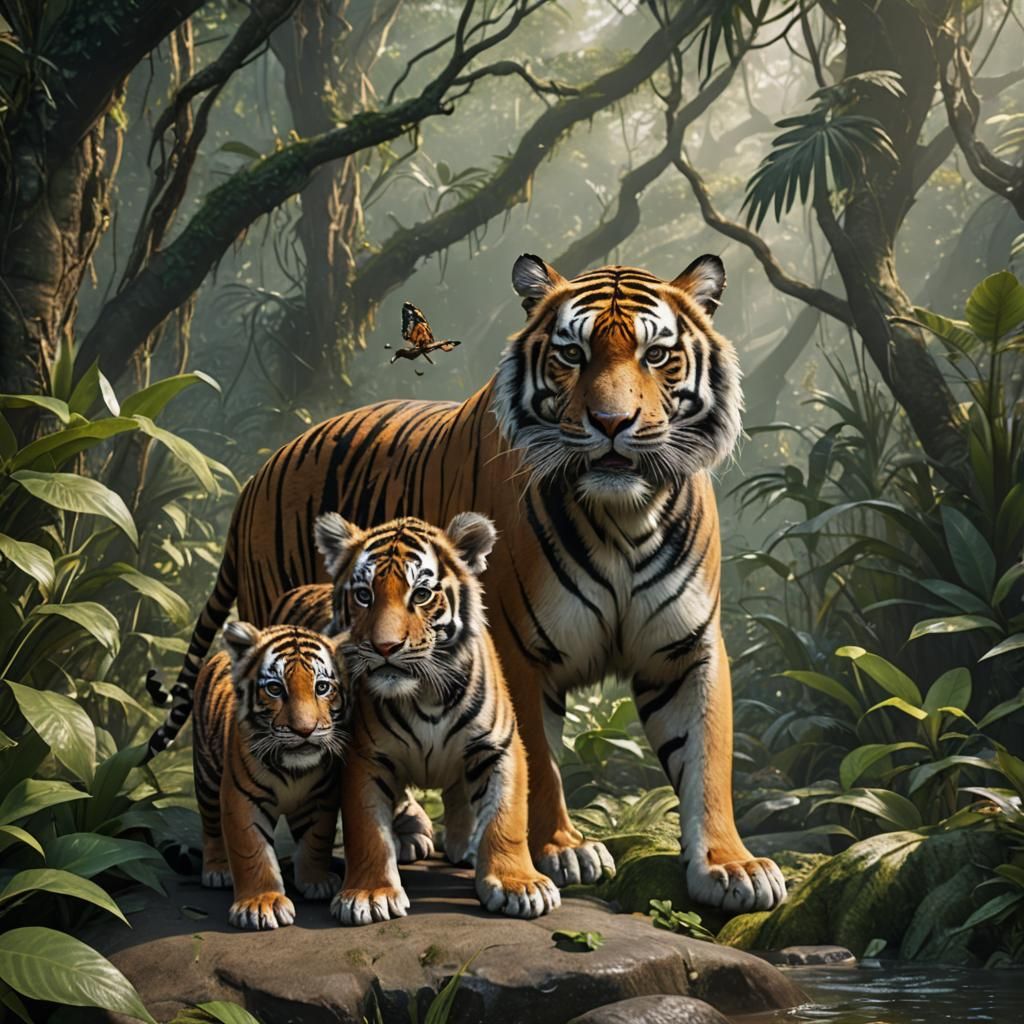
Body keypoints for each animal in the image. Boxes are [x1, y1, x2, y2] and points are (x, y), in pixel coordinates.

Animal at [153, 622, 353, 930]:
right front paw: (260, 905)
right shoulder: (241, 800)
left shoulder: (321, 798)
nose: (305, 730)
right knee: (211, 828)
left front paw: (316, 881)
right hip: (207, 778)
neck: (293, 769)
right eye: (274, 688)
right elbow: (251, 851)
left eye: (322, 688)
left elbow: (316, 840)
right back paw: (217, 870)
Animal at [163, 254, 786, 913]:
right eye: (572, 354)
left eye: (657, 355)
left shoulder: (684, 650)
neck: (624, 515)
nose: (612, 423)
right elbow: (541, 761)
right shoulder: (521, 650)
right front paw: (562, 848)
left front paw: (731, 865)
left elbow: (706, 760)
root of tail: (254, 478)